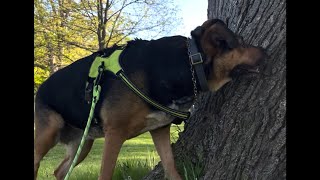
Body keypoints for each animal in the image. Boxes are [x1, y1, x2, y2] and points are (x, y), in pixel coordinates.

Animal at [33, 19, 266, 179]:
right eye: (241, 42)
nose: (265, 50)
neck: (186, 63)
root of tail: (40, 88)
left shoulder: (160, 129)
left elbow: (171, 168)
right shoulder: (115, 134)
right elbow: (105, 174)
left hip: (83, 142)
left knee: (59, 171)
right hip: (48, 132)